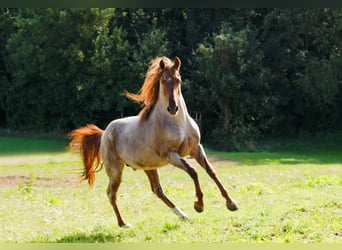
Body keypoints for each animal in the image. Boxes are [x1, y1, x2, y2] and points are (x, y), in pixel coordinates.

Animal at [68, 55, 236, 228]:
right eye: (163, 80)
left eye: (178, 79)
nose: (173, 108)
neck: (177, 124)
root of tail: (104, 133)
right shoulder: (171, 155)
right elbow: (193, 172)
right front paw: (199, 205)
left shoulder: (196, 148)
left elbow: (211, 171)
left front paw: (231, 204)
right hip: (115, 170)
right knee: (111, 193)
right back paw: (123, 223)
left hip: (149, 167)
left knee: (157, 190)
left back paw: (182, 215)